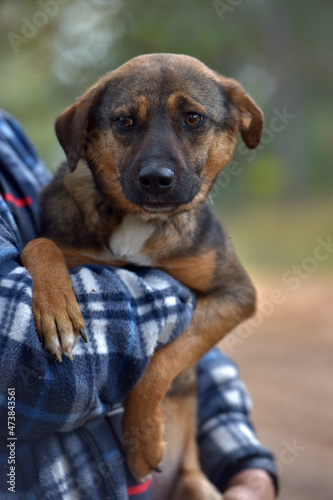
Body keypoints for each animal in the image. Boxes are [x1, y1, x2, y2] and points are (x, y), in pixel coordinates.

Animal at [22, 52, 264, 498]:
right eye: (124, 121)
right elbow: (41, 245)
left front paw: (142, 440)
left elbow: (165, 361)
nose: (155, 179)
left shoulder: (236, 295)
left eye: (193, 118)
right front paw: (57, 310)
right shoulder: (65, 245)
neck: (138, 220)